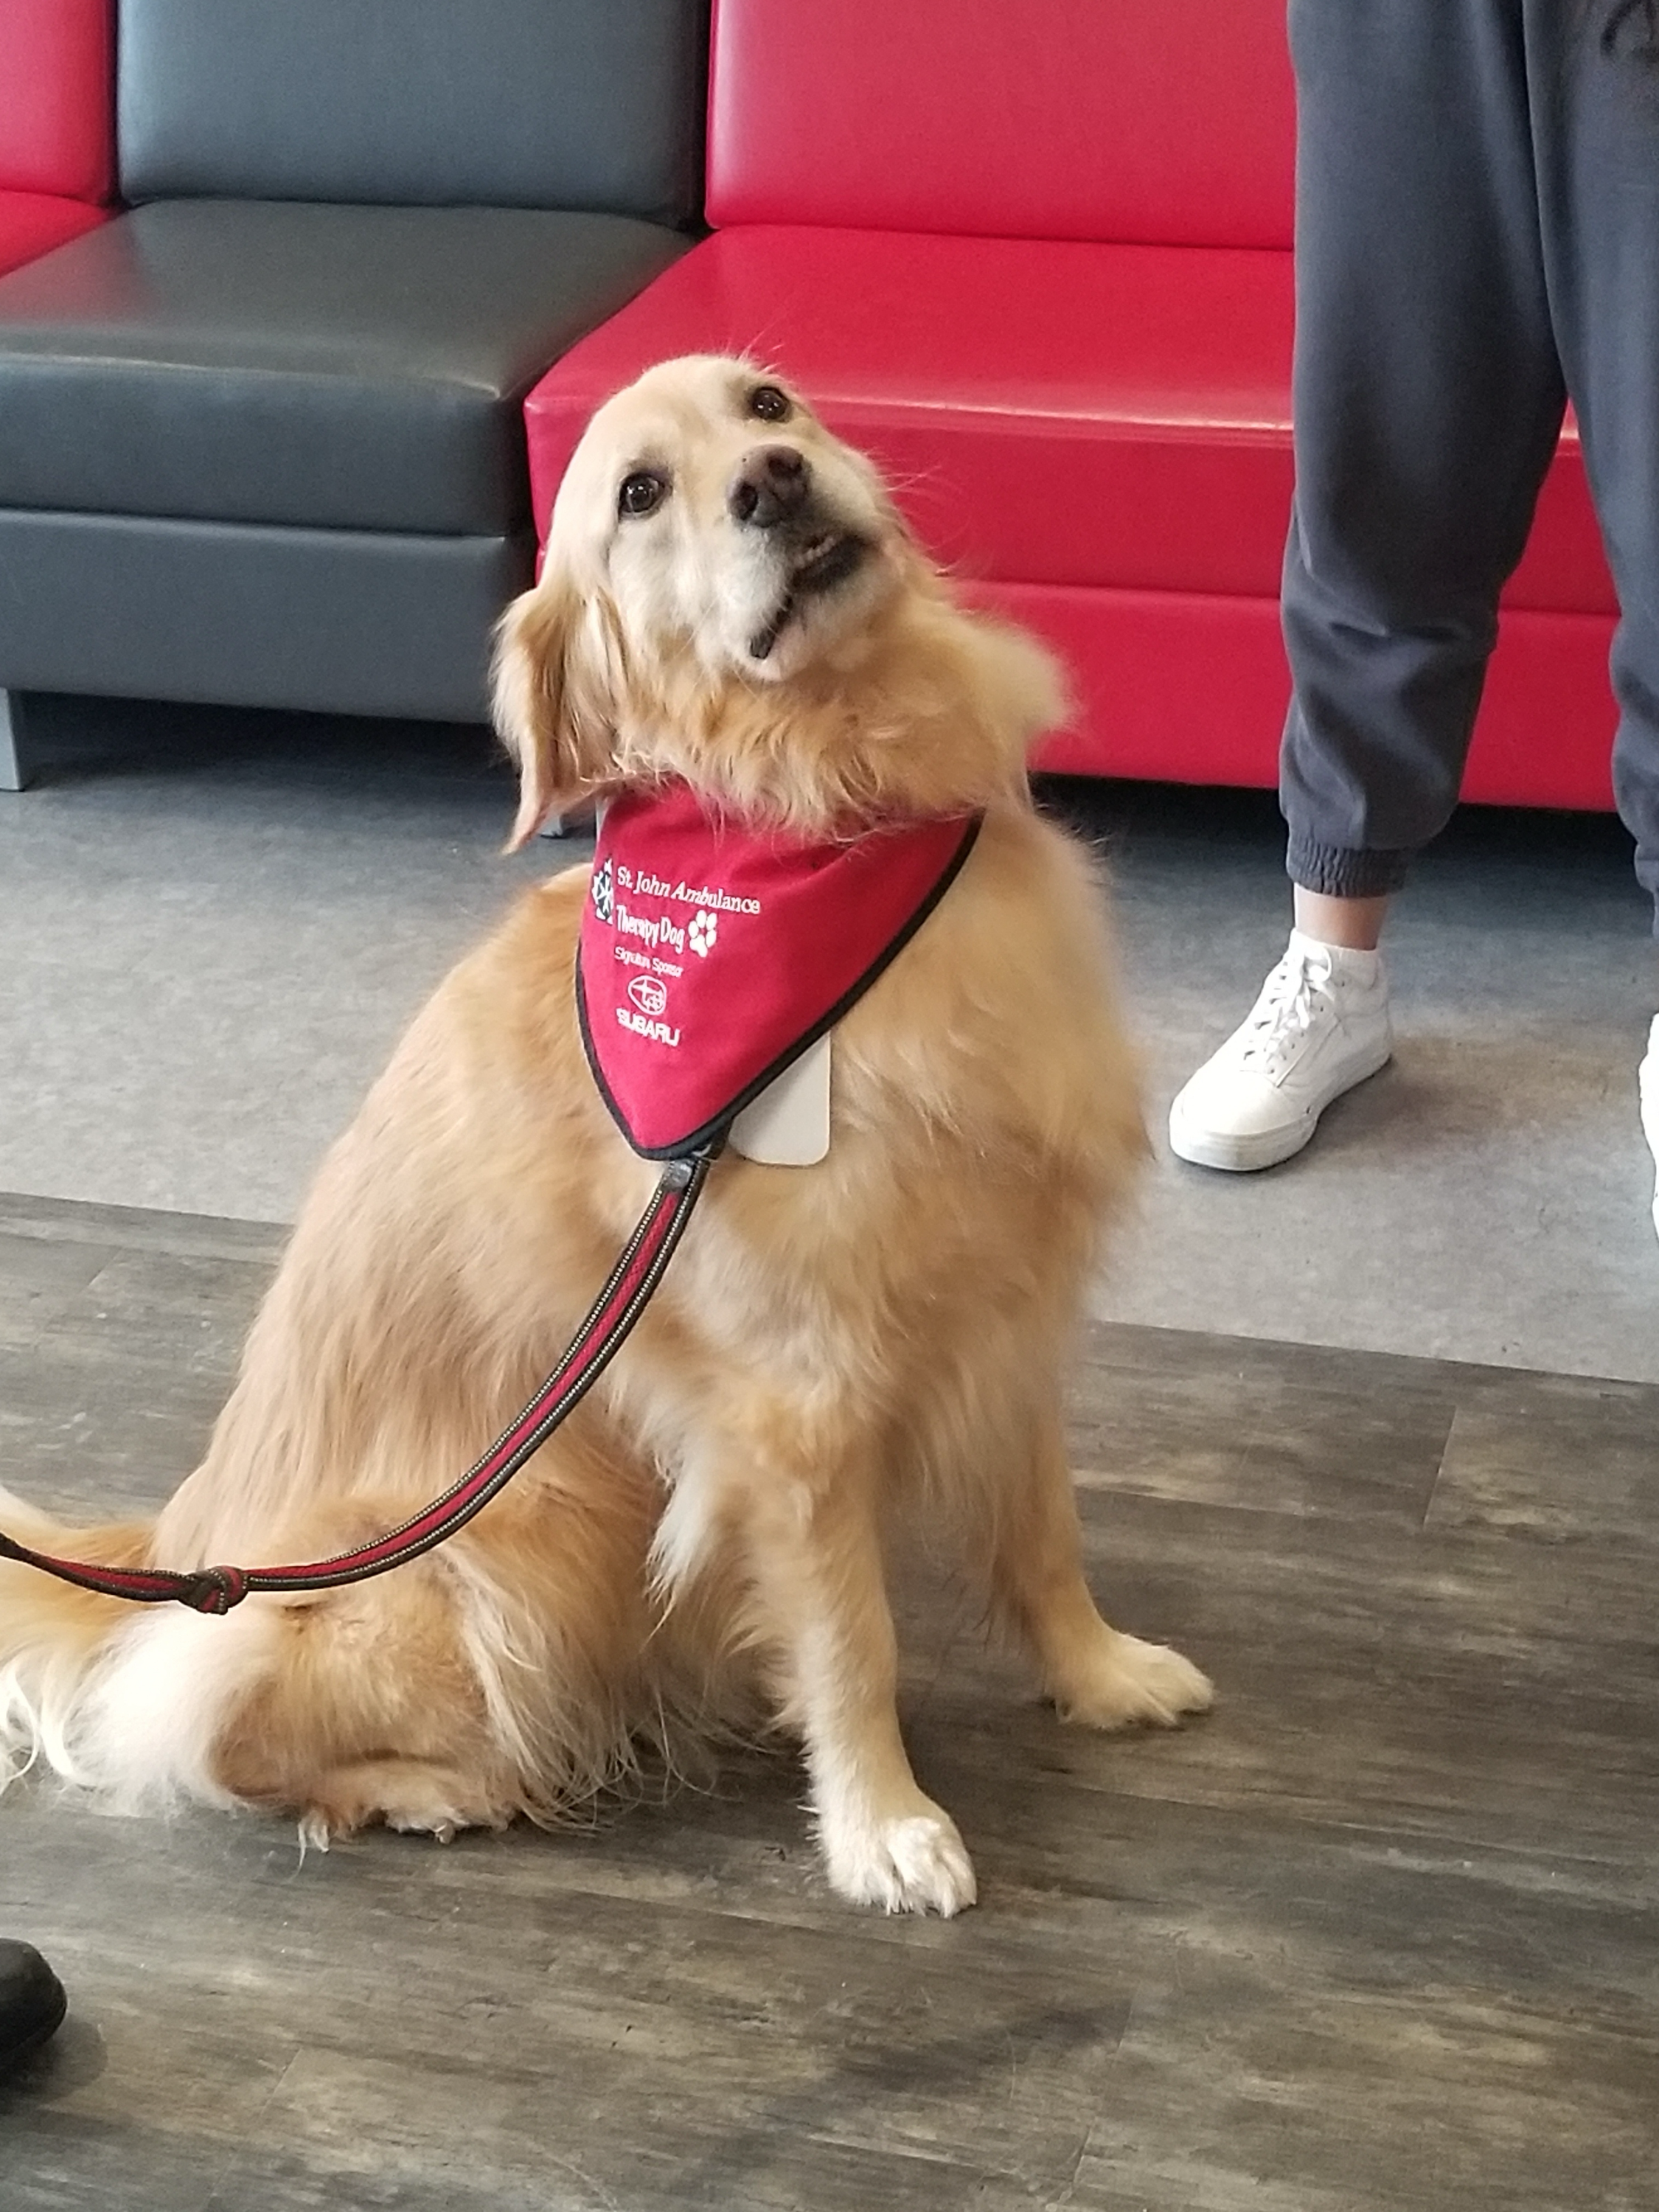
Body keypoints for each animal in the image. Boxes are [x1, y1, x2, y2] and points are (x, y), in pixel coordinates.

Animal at [0, 354, 1212, 1911]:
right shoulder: (796, 1405)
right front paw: (882, 1827)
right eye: (638, 493)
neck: (830, 805)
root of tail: (179, 1550)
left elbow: (1045, 1536)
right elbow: (854, 1641)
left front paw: (1101, 1673)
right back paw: (437, 1794)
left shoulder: (1005, 1308)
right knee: (215, 1733)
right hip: (514, 1550)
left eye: (769, 406)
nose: (774, 483)